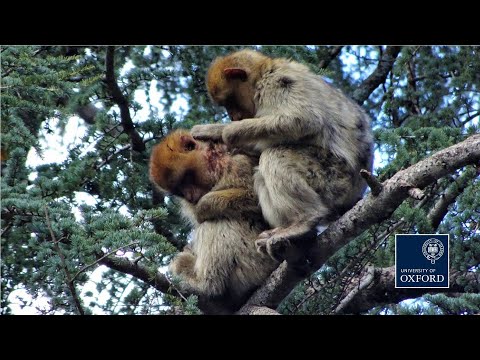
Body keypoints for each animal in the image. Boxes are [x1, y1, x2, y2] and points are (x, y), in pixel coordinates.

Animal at [149, 129, 278, 312]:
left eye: (186, 179)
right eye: (179, 191)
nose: (190, 197)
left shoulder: (237, 164)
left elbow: (258, 200)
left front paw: (204, 206)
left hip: (256, 262)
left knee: (216, 223)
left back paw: (205, 285)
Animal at [191, 48, 376, 262]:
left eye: (230, 101)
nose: (233, 116)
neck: (264, 72)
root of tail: (358, 191)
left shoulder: (276, 84)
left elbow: (302, 120)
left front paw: (225, 131)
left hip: (333, 178)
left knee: (274, 156)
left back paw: (303, 221)